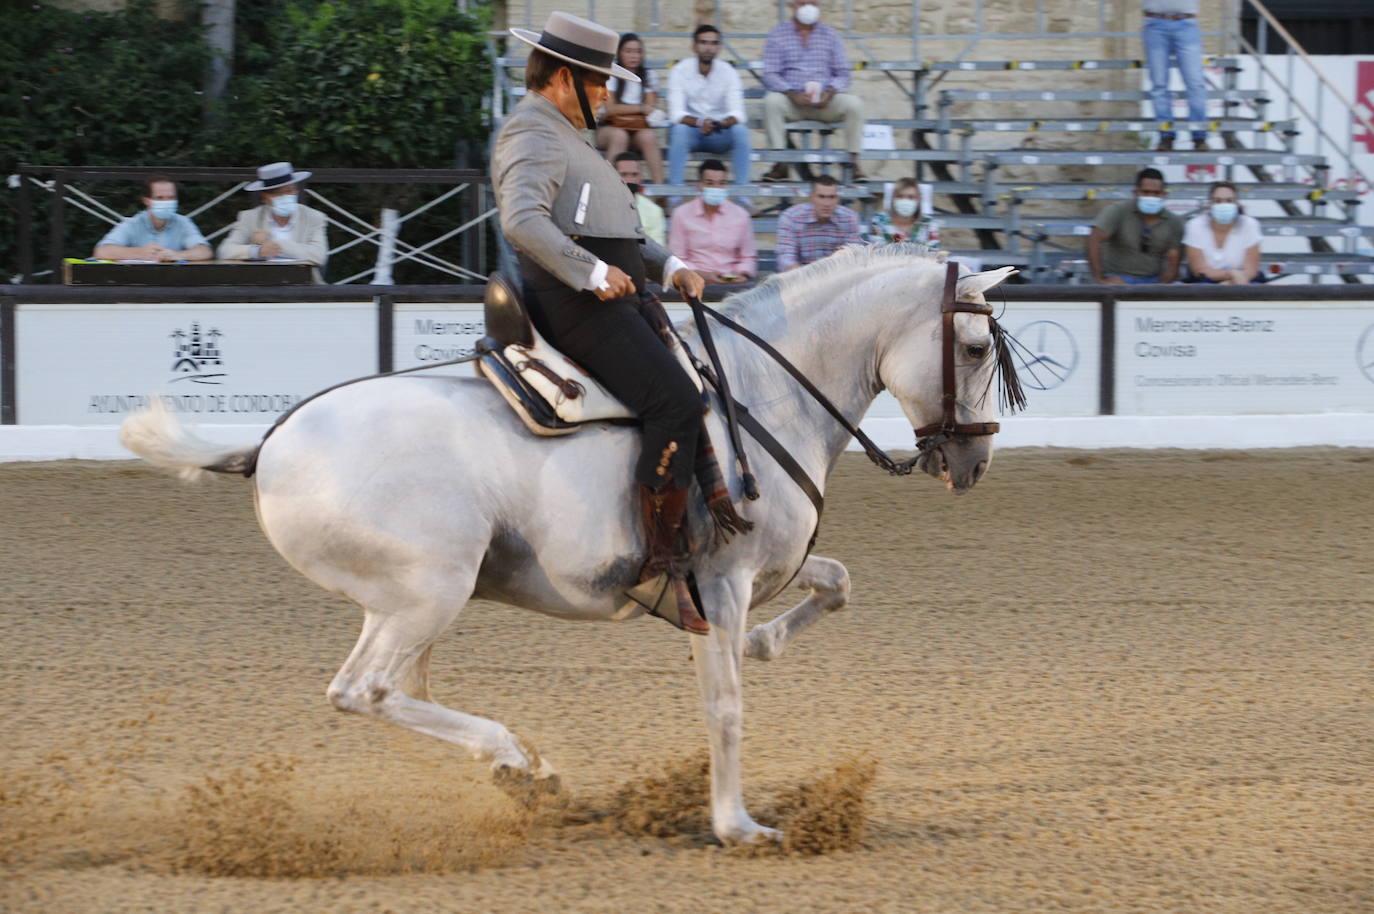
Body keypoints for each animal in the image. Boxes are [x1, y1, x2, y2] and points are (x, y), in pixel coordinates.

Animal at [120, 246, 1022, 846]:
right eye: (976, 348)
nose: (974, 462)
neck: (759, 395)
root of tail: (268, 446)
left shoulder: (756, 578)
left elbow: (835, 585)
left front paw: (764, 648)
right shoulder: (721, 584)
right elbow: (726, 706)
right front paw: (736, 825)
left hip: (412, 604)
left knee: (399, 689)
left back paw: (525, 774)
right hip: (428, 592)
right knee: (363, 691)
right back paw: (516, 759)